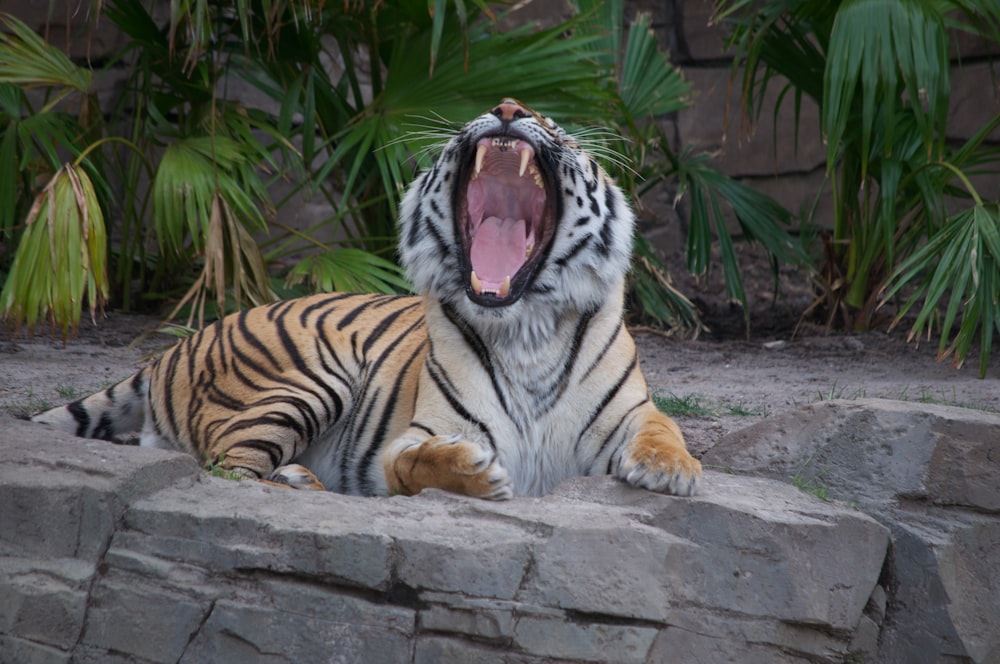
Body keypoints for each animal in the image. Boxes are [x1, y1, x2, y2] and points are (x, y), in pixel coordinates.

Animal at [33, 100, 704, 498]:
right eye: (501, 107)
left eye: (556, 125)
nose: (510, 108)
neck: (525, 327)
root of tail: (171, 349)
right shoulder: (417, 434)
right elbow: (415, 462)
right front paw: (471, 472)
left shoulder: (632, 411)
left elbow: (665, 428)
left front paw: (671, 469)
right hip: (303, 381)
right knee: (228, 467)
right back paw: (301, 482)